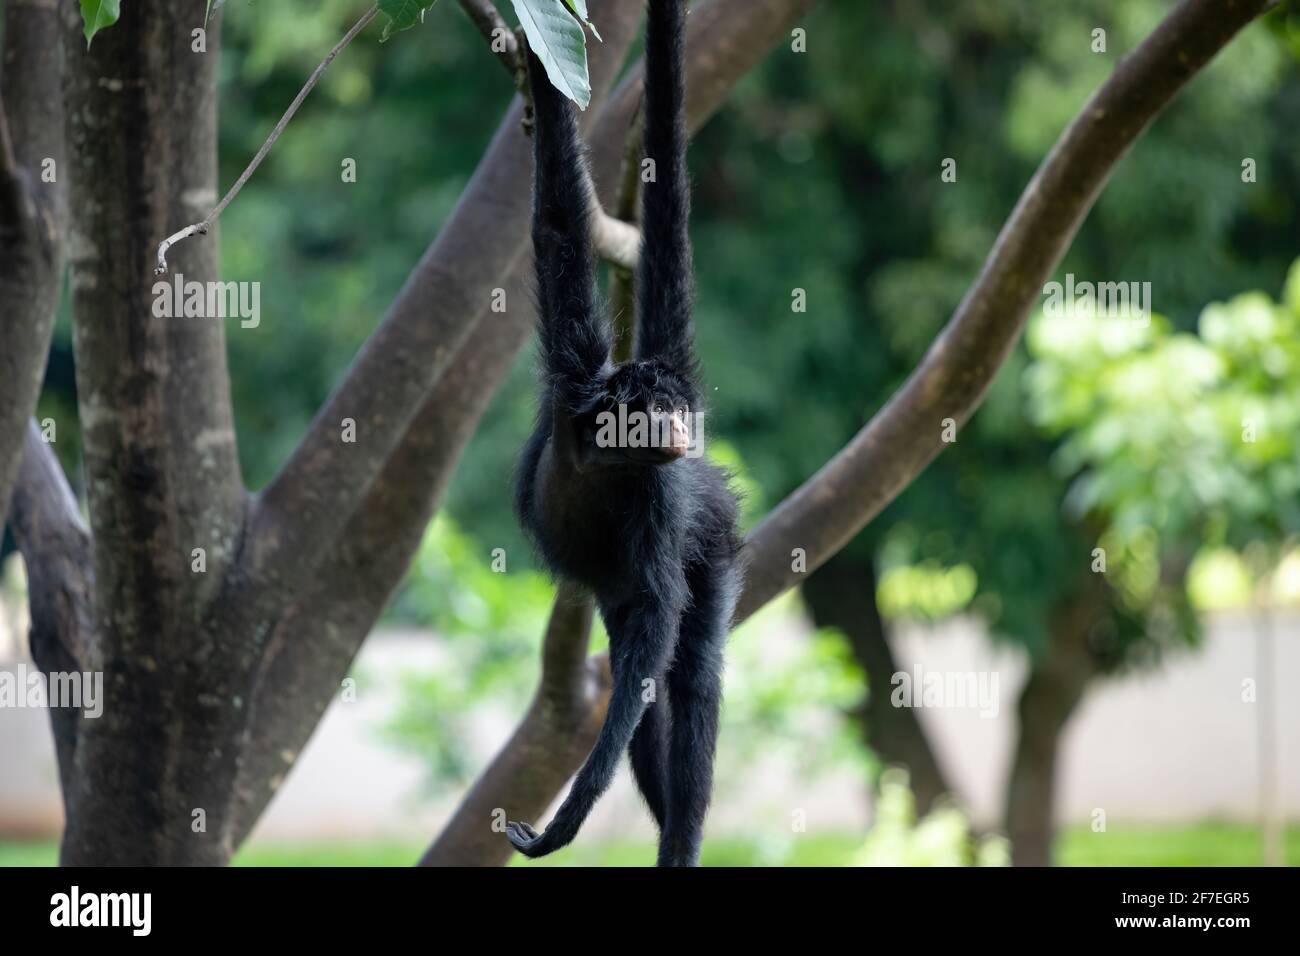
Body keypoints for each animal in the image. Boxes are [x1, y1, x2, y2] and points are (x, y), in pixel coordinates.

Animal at [507, 0, 742, 867]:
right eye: (657, 410)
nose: (678, 427)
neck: (604, 460)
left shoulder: (660, 494)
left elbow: (659, 634)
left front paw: (570, 814)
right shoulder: (576, 378)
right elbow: (556, 225)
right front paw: (543, 66)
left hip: (718, 538)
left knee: (690, 673)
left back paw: (683, 835)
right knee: (636, 676)